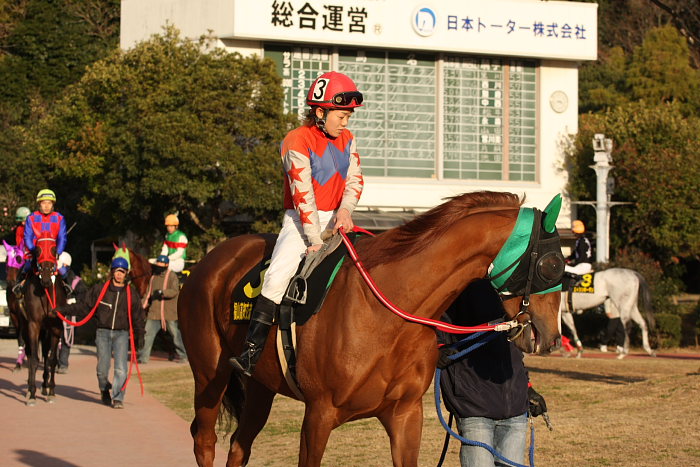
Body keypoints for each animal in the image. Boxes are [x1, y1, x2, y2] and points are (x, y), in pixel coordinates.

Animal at [21, 238, 67, 406]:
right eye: (38, 250)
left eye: (54, 250)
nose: (47, 278)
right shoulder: (33, 325)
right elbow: (34, 359)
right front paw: (32, 394)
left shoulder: (56, 327)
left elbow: (52, 359)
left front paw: (51, 391)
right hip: (23, 326)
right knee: (29, 353)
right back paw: (30, 389)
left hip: (46, 330)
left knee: (46, 354)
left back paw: (45, 387)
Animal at [178, 192, 560, 466]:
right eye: (552, 265)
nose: (550, 337)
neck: (386, 316)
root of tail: (211, 259)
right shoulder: (318, 415)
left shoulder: (405, 415)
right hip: (209, 374)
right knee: (204, 441)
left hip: (260, 385)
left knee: (239, 445)